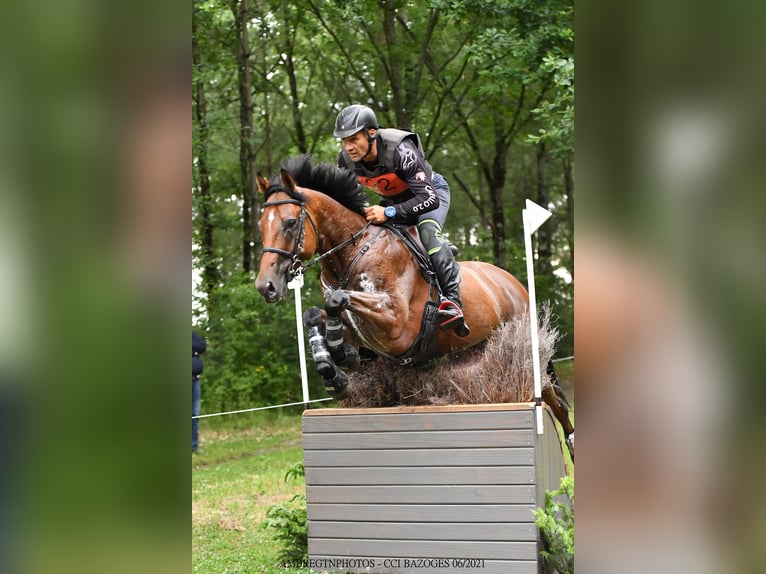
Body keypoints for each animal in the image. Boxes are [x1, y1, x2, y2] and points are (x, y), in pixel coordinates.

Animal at [255, 156, 572, 454]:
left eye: (290, 223)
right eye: (260, 226)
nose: (265, 287)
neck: (353, 252)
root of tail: (515, 284)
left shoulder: (396, 328)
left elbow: (338, 299)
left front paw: (342, 356)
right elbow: (313, 314)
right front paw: (334, 366)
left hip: (526, 354)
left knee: (555, 401)